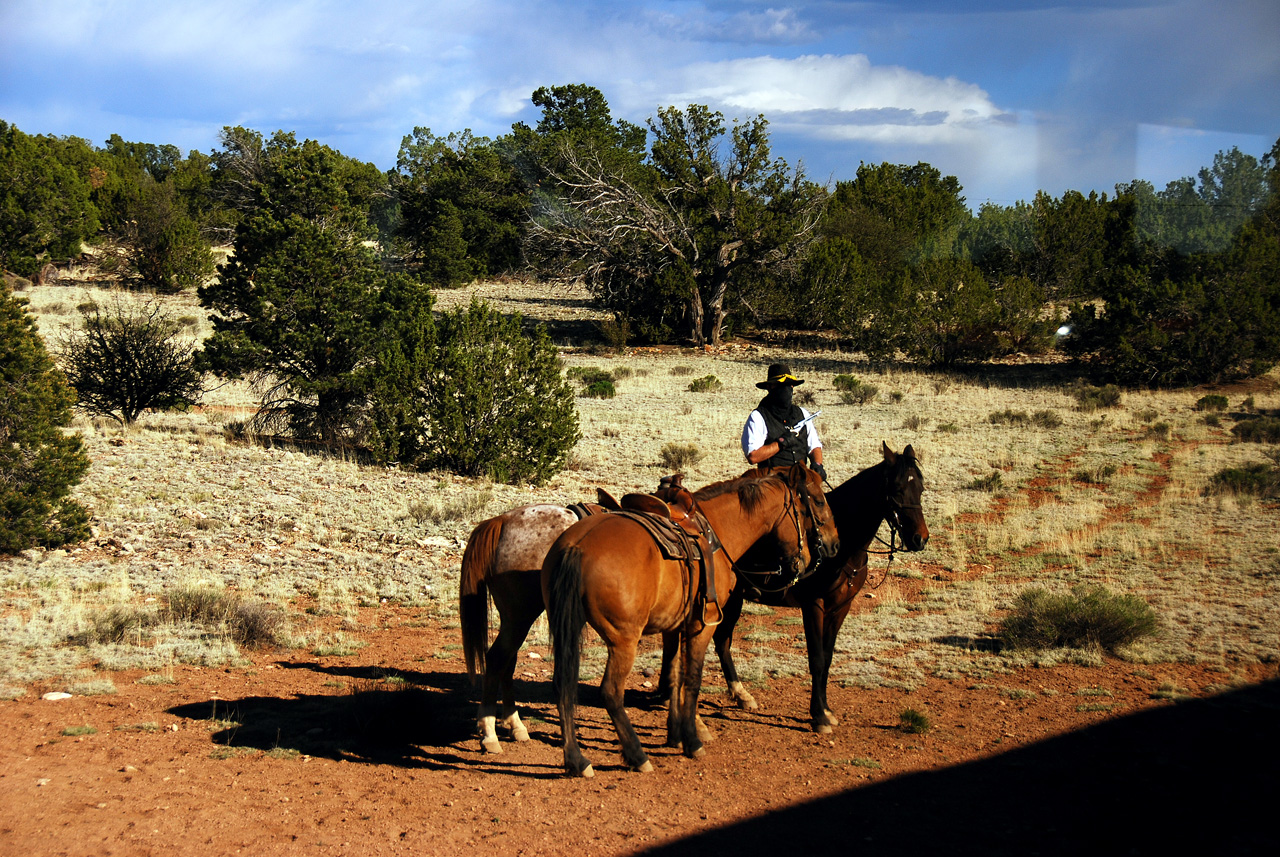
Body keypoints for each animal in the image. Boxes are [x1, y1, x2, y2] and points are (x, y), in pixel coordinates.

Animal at [542, 465, 834, 782]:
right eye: (817, 502)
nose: (830, 548)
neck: (719, 531)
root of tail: (576, 547)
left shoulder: (673, 625)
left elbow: (673, 676)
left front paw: (675, 735)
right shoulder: (702, 624)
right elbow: (693, 679)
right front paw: (692, 741)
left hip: (565, 628)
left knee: (562, 685)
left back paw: (576, 760)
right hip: (623, 641)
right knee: (610, 692)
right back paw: (637, 755)